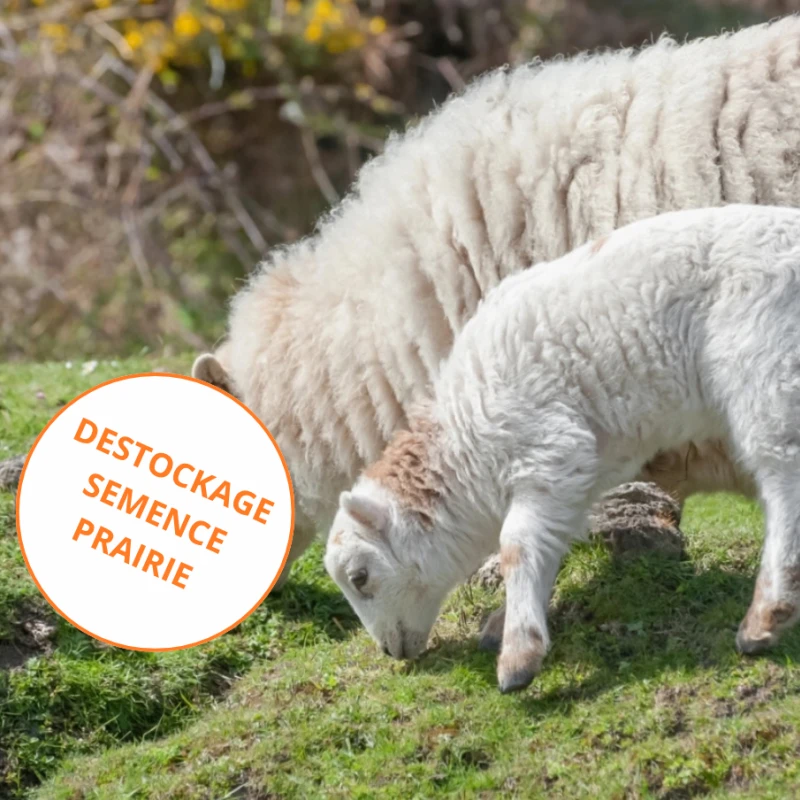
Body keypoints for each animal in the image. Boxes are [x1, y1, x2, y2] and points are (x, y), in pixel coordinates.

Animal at [325, 204, 800, 693]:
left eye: (360, 577)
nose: (390, 652)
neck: (465, 445)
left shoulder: (547, 444)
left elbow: (516, 543)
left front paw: (518, 657)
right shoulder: (578, 467)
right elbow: (550, 540)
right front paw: (507, 622)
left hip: (766, 363)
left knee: (783, 470)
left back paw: (766, 616)